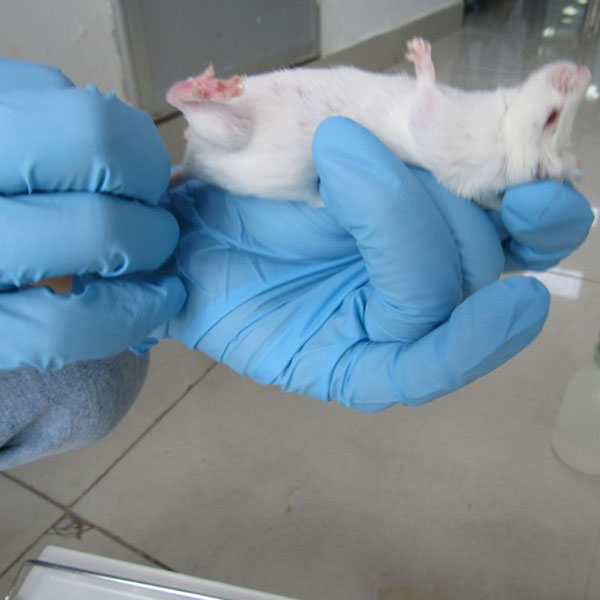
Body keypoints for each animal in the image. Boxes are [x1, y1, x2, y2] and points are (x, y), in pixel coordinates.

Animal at [167, 37, 591, 209]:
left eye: (552, 119)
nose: (586, 69)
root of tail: (191, 166)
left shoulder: (448, 142)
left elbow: (423, 106)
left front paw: (420, 56)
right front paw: (419, 51)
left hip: (234, 137)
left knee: (197, 114)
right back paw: (211, 85)